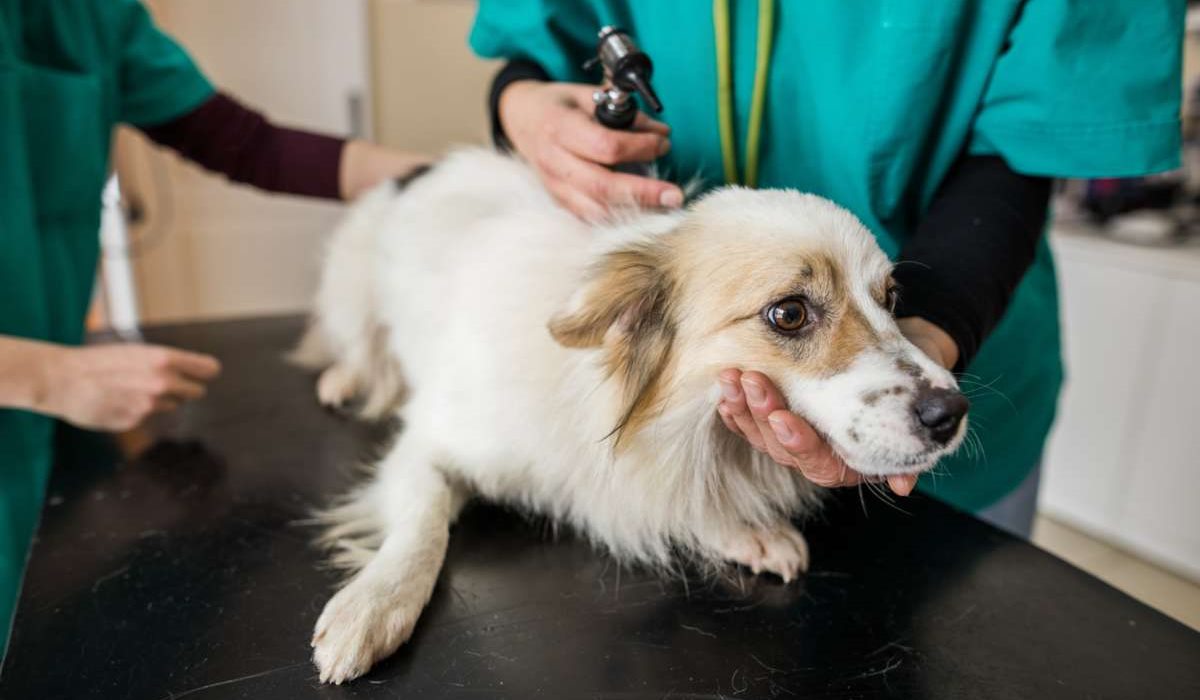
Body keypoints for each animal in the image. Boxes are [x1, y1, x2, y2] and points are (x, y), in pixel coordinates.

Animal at [297, 149, 964, 686]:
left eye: (891, 300)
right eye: (790, 313)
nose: (951, 412)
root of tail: (418, 168)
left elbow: (679, 497)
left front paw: (741, 528)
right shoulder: (431, 445)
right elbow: (422, 529)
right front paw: (373, 604)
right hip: (352, 296)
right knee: (357, 348)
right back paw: (344, 379)